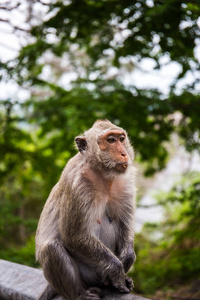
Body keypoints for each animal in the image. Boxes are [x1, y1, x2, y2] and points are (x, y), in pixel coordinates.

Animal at [35, 120, 137, 300]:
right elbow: (74, 234)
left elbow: (124, 224)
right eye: (110, 140)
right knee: (51, 248)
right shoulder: (77, 184)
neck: (103, 174)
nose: (124, 154)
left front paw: (128, 258)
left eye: (121, 139)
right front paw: (118, 271)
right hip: (89, 273)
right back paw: (79, 293)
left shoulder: (125, 181)